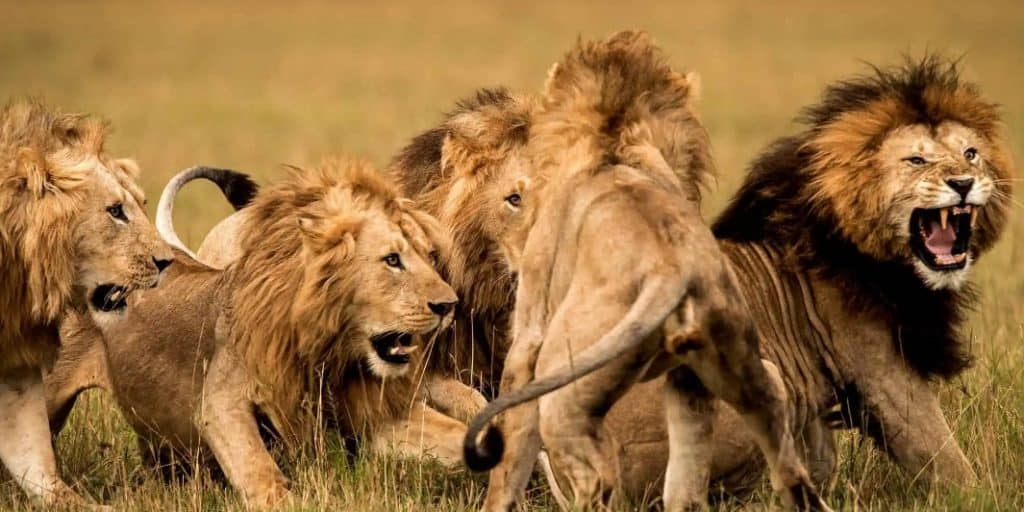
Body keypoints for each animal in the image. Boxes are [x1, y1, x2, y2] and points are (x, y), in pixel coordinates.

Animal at [43, 159, 464, 507]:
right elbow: (262, 473)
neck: (328, 351)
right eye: (392, 260)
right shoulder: (222, 404)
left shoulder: (372, 413)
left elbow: (455, 433)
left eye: (430, 256)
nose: (449, 306)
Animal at [462, 32, 829, 511]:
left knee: (594, 477)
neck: (613, 139)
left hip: (563, 386)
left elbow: (508, 458)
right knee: (767, 471)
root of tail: (670, 270)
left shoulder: (527, 337)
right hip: (742, 371)